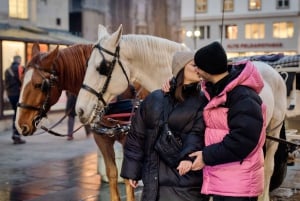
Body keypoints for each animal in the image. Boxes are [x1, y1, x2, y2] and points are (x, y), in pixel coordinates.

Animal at [15, 43, 149, 201]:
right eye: (21, 80)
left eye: (40, 85)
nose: (20, 124)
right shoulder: (102, 138)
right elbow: (112, 174)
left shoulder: (129, 139)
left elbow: (129, 178)